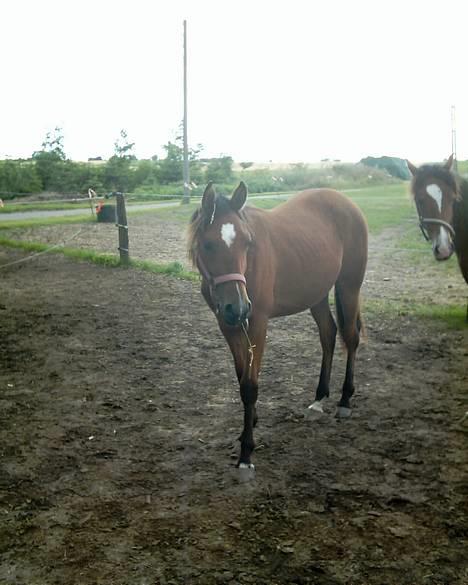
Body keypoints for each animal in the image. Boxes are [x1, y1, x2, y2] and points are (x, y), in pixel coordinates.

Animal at [188, 182, 368, 474]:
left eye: (247, 243)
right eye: (208, 244)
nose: (238, 307)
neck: (249, 266)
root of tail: (346, 202)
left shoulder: (257, 322)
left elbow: (250, 386)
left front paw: (246, 453)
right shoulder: (228, 325)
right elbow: (242, 377)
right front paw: (249, 425)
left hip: (348, 286)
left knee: (351, 338)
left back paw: (344, 401)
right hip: (317, 294)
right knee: (328, 334)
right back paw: (319, 399)